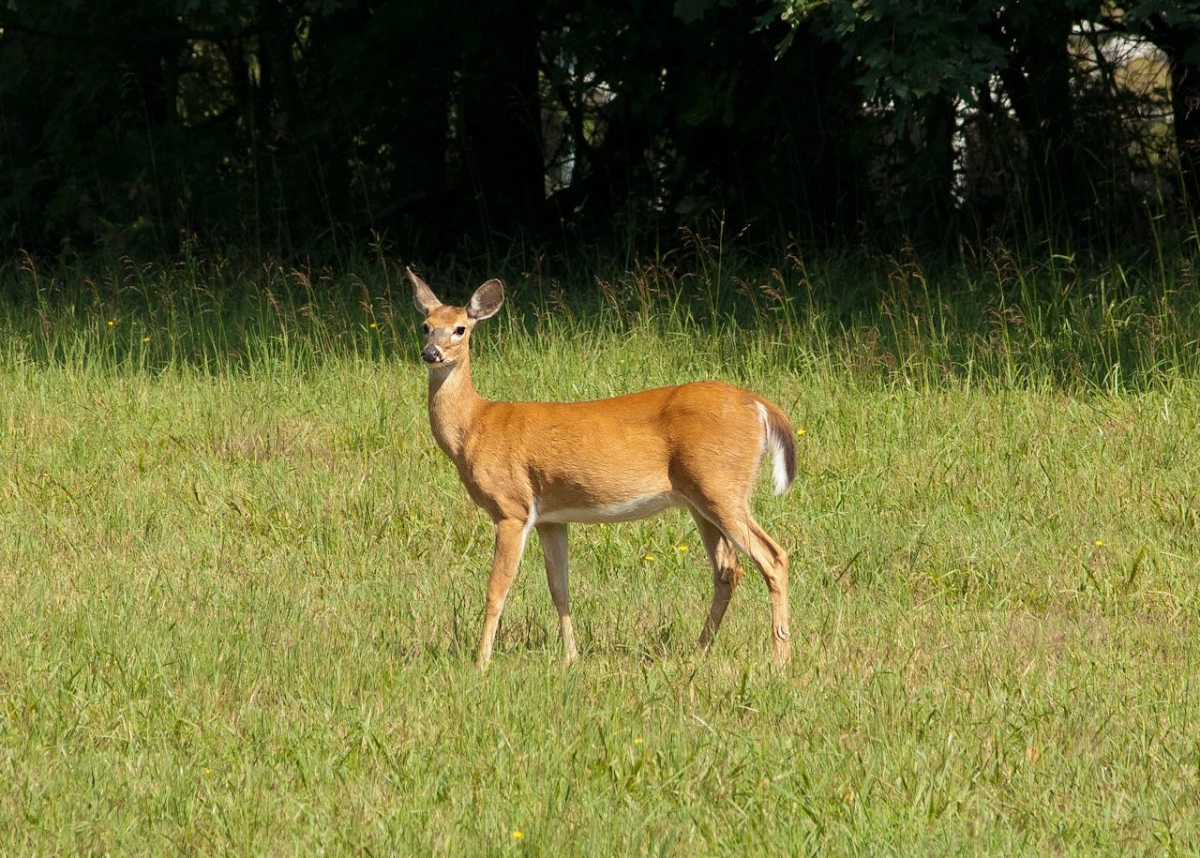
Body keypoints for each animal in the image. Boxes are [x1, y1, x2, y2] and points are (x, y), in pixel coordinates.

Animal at [410, 268, 797, 669]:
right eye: (425, 326)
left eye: (460, 328)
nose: (431, 353)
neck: (475, 426)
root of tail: (760, 405)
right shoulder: (550, 517)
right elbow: (559, 589)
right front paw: (571, 657)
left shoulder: (511, 507)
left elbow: (496, 590)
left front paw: (481, 663)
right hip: (700, 498)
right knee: (727, 569)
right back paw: (699, 650)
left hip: (721, 486)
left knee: (773, 557)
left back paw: (780, 657)